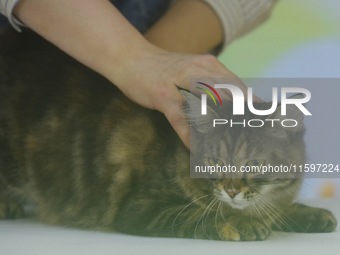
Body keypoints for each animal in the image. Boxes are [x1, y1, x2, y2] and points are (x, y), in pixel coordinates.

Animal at [0, 27, 336, 241]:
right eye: (215, 163)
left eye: (253, 164)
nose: (231, 191)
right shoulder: (140, 207)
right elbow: (201, 215)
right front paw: (240, 221)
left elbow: (277, 209)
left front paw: (307, 214)